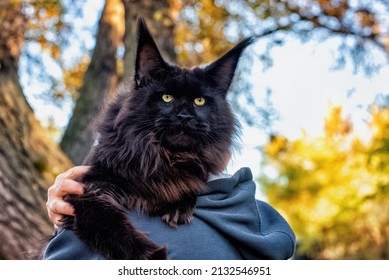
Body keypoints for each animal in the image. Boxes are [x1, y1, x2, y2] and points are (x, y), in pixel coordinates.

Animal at [57, 16, 252, 260]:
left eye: (199, 101)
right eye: (167, 98)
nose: (184, 116)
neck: (164, 156)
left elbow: (188, 183)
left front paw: (178, 205)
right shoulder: (89, 190)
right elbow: (114, 229)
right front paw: (155, 254)